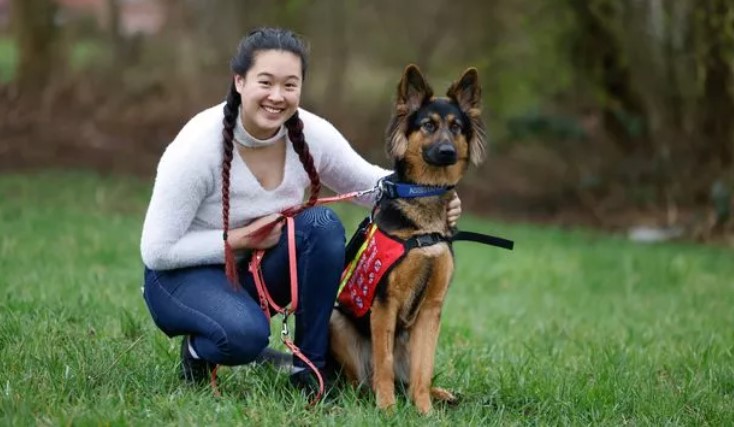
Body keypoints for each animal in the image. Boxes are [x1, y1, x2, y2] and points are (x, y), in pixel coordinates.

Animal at [330, 64, 486, 414]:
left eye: (456, 127)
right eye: (428, 125)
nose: (447, 151)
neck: (423, 196)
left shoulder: (431, 309)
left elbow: (422, 369)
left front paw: (425, 410)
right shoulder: (385, 303)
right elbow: (384, 363)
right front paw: (387, 409)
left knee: (410, 376)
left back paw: (440, 394)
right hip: (337, 323)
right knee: (361, 380)